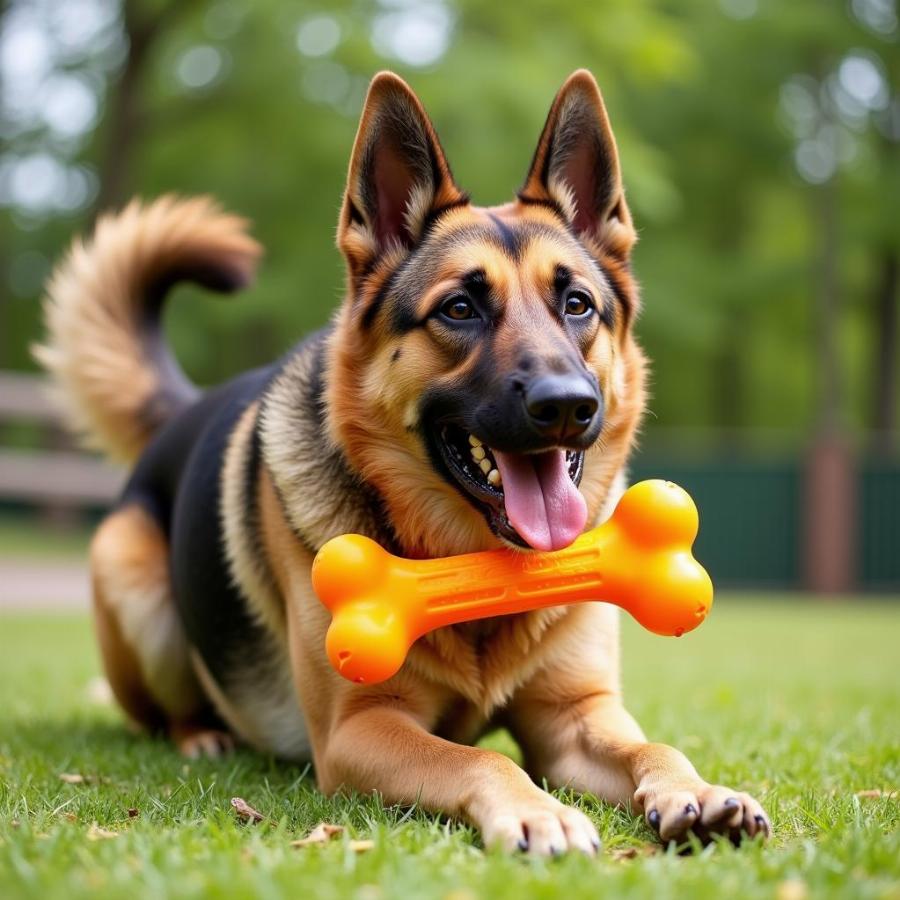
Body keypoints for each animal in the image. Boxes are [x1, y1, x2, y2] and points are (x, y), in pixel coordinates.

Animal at [33, 68, 768, 852]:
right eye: (458, 310)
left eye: (576, 304)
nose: (567, 405)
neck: (480, 574)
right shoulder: (361, 729)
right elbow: (480, 757)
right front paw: (537, 811)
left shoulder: (575, 718)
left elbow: (654, 746)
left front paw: (698, 789)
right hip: (131, 580)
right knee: (165, 709)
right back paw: (202, 735)